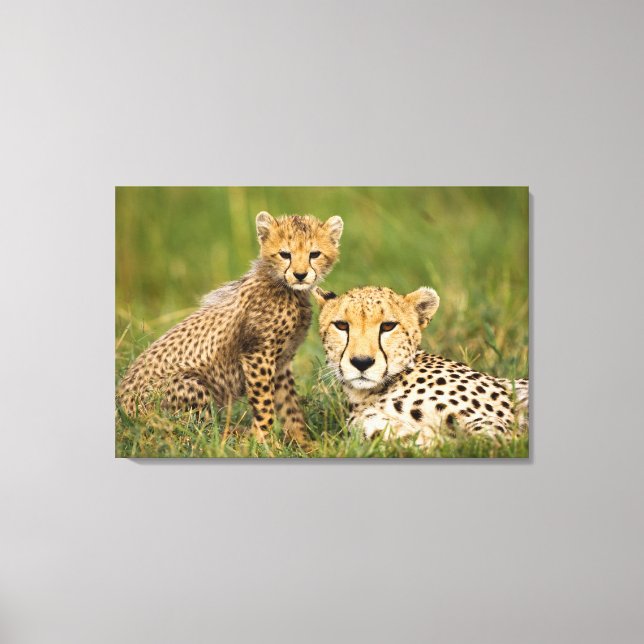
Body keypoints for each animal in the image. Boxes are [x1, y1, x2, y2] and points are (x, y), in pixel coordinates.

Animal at [117, 211, 344, 445]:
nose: (300, 275)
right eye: (284, 254)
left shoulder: (281, 361)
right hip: (190, 384)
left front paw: (303, 442)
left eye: (314, 254)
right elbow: (265, 404)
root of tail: (121, 413)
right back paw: (237, 436)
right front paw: (264, 443)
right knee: (194, 432)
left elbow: (289, 407)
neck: (285, 288)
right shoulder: (258, 355)